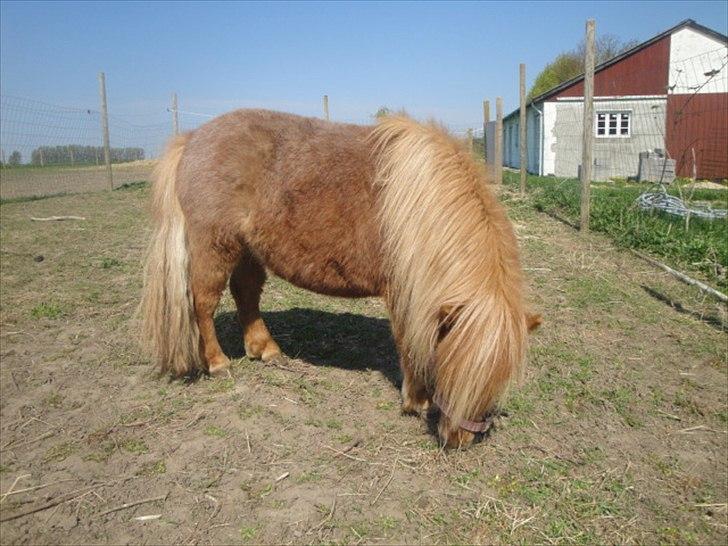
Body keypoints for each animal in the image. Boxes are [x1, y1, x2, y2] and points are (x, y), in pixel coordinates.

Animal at [139, 109, 541, 448]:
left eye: (499, 379)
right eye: (454, 368)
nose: (460, 439)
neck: (422, 202)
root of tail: (191, 138)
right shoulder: (403, 293)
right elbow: (409, 342)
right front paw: (417, 400)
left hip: (248, 248)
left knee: (246, 293)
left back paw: (266, 350)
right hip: (215, 245)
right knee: (204, 303)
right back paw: (219, 363)